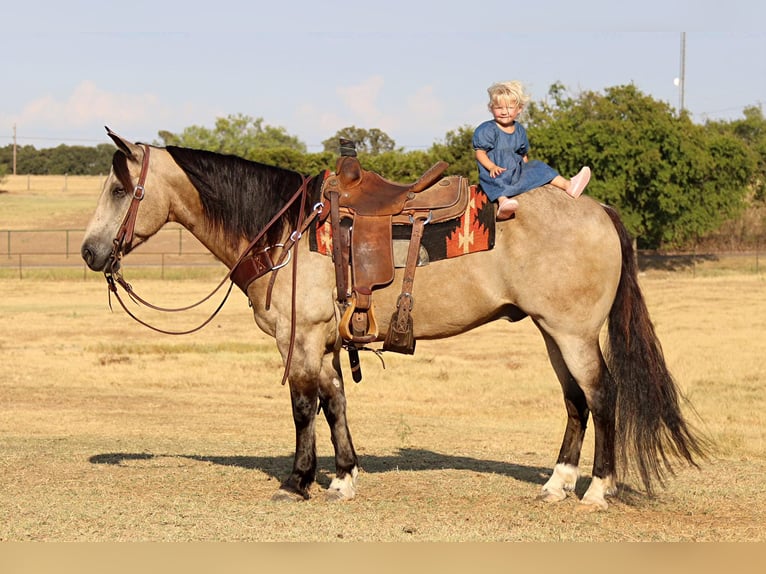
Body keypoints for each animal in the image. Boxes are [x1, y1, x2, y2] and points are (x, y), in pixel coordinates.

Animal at [79, 128, 708, 510]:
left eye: (119, 188)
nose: (89, 252)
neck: (285, 230)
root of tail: (594, 207)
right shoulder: (324, 343)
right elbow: (335, 402)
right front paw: (343, 477)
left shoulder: (299, 340)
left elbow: (303, 407)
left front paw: (298, 481)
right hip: (551, 333)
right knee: (575, 401)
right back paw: (556, 483)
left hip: (573, 333)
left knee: (603, 397)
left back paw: (597, 490)